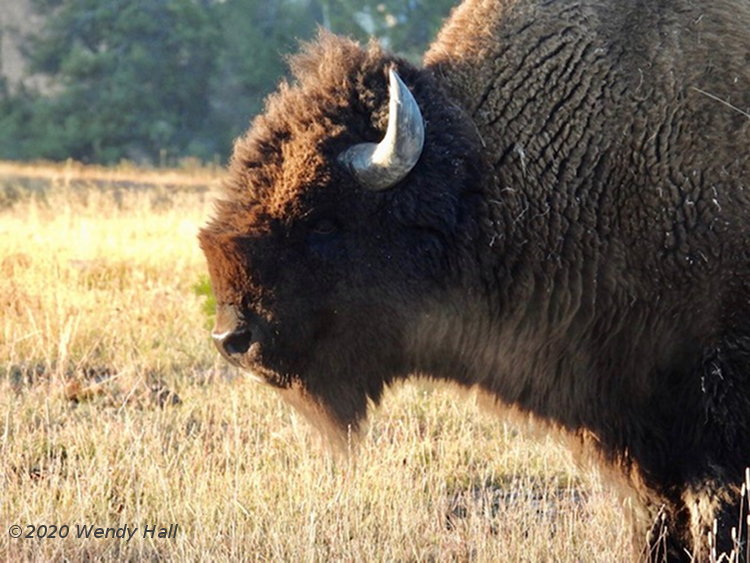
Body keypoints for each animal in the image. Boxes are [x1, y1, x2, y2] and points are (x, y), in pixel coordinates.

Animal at [200, 0, 750, 560]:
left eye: (324, 222)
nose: (231, 337)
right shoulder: (635, 429)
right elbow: (659, 517)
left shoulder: (715, 416)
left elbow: (715, 512)